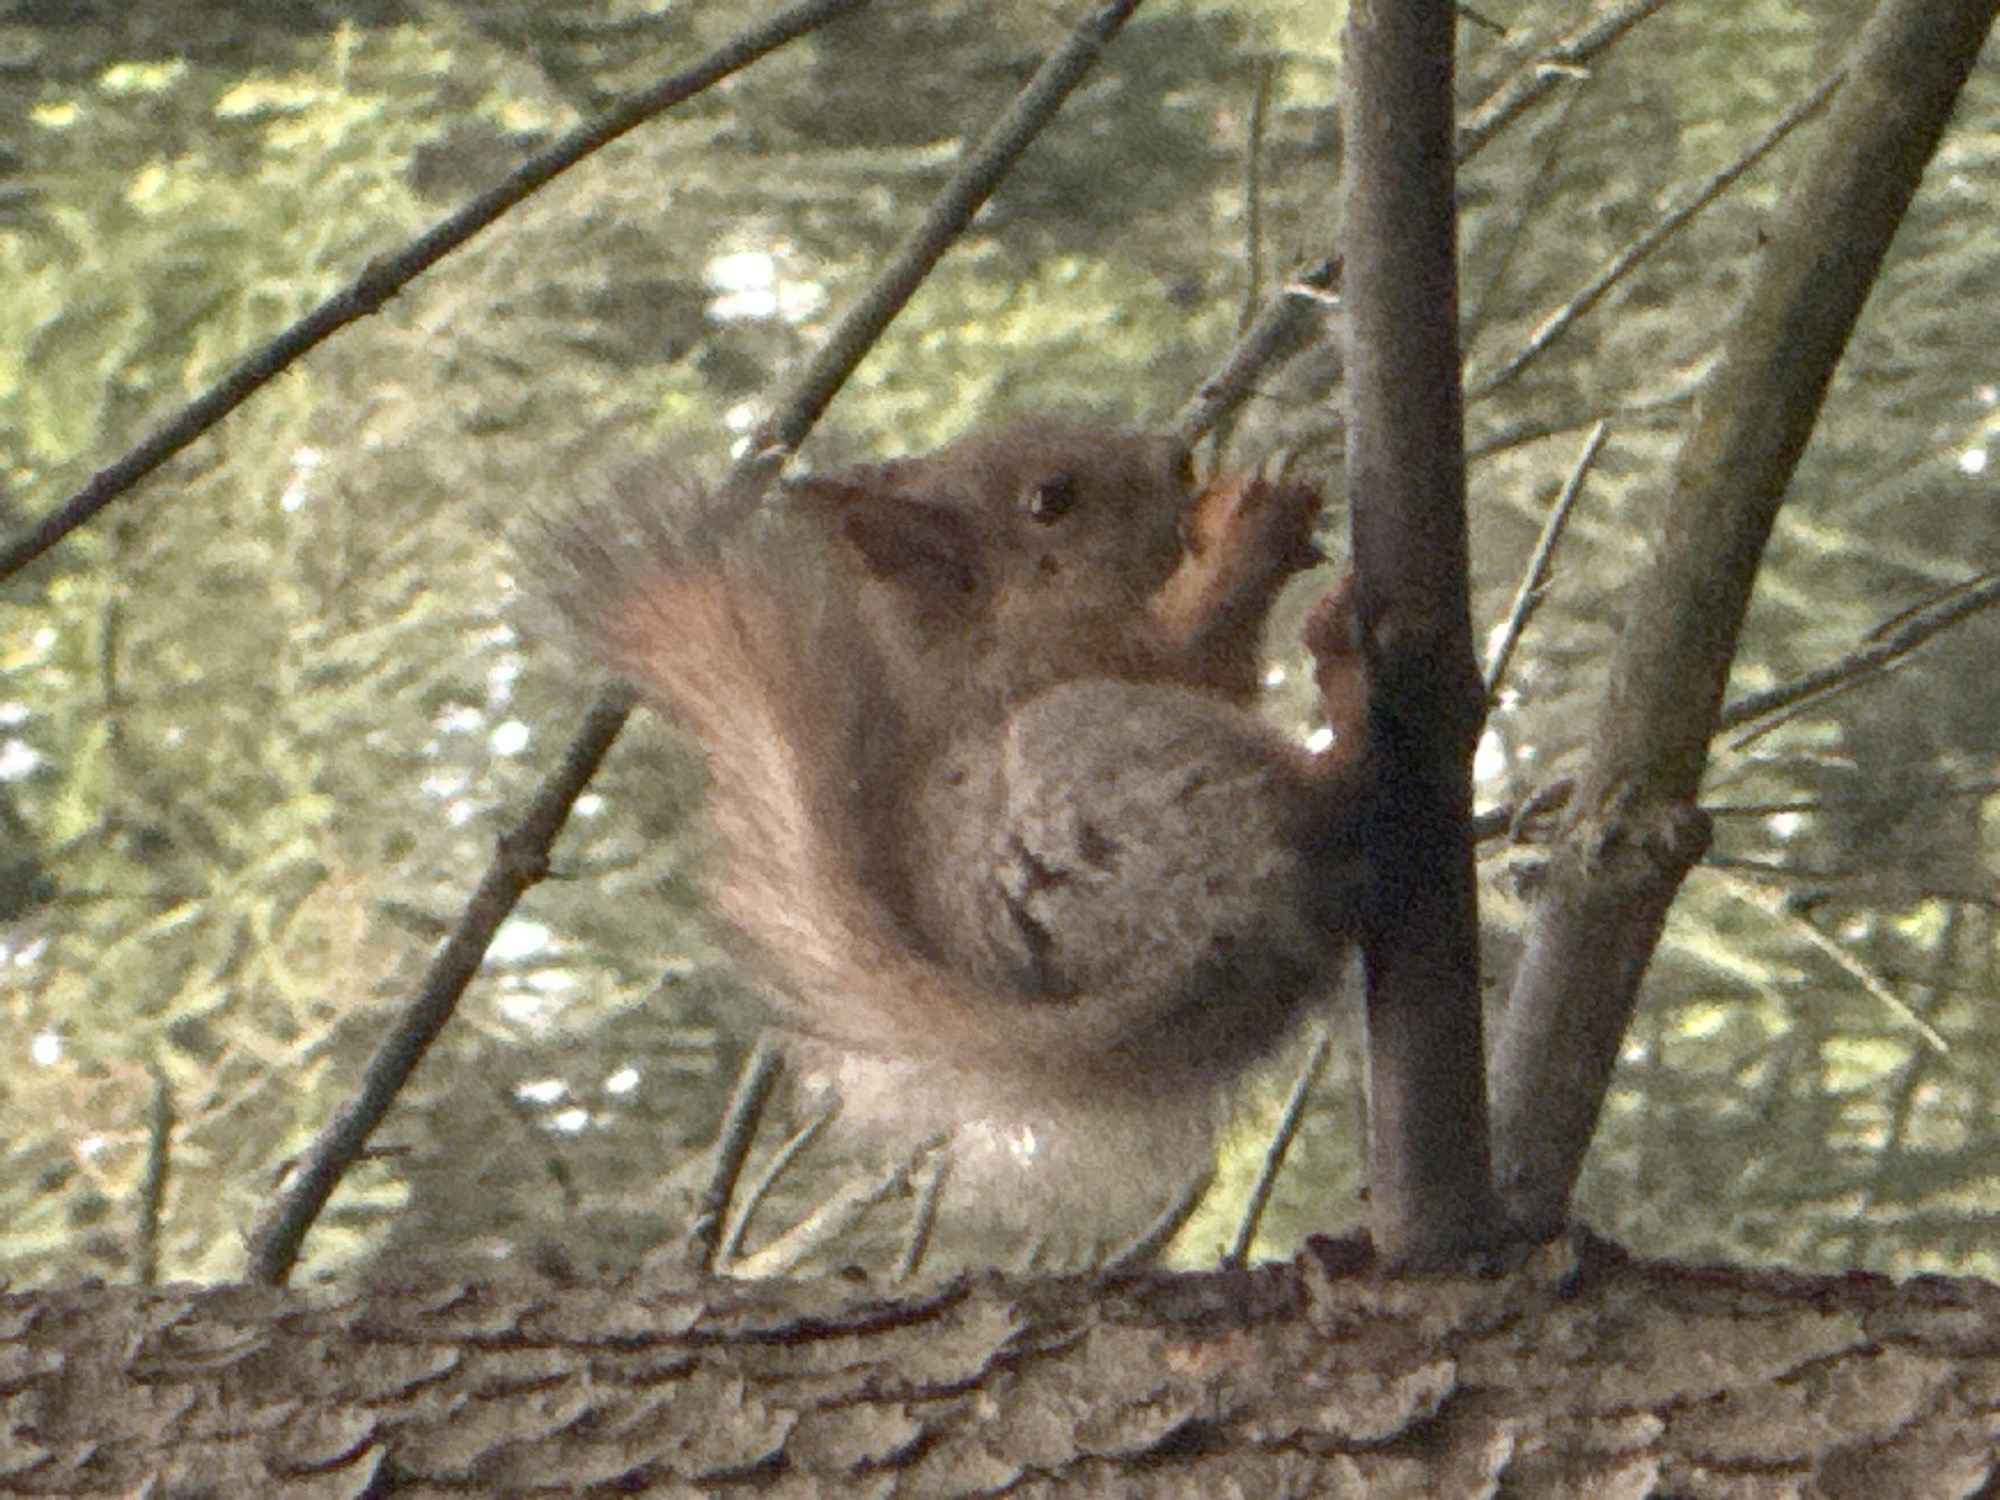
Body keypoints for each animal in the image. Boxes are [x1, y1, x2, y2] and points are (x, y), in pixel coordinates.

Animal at [541, 419, 1371, 1139]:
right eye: (1052, 500)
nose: (1177, 453)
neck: (990, 623)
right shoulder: (1054, 659)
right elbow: (1193, 653)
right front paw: (1249, 530)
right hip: (1107, 767)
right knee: (1317, 812)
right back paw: (1347, 711)